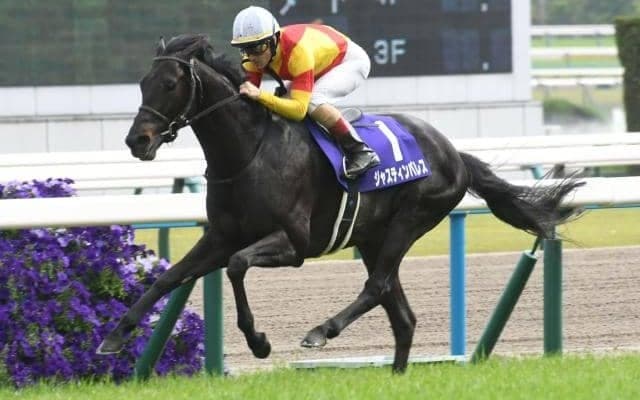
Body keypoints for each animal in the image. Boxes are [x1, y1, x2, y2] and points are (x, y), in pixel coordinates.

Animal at [97, 34, 584, 373]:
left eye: (170, 84)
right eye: (142, 84)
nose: (137, 141)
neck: (249, 151)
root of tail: (452, 153)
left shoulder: (292, 243)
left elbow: (236, 266)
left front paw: (259, 341)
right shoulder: (220, 236)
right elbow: (168, 278)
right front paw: (115, 336)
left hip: (411, 219)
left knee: (377, 287)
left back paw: (320, 332)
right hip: (372, 236)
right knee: (401, 314)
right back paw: (395, 375)